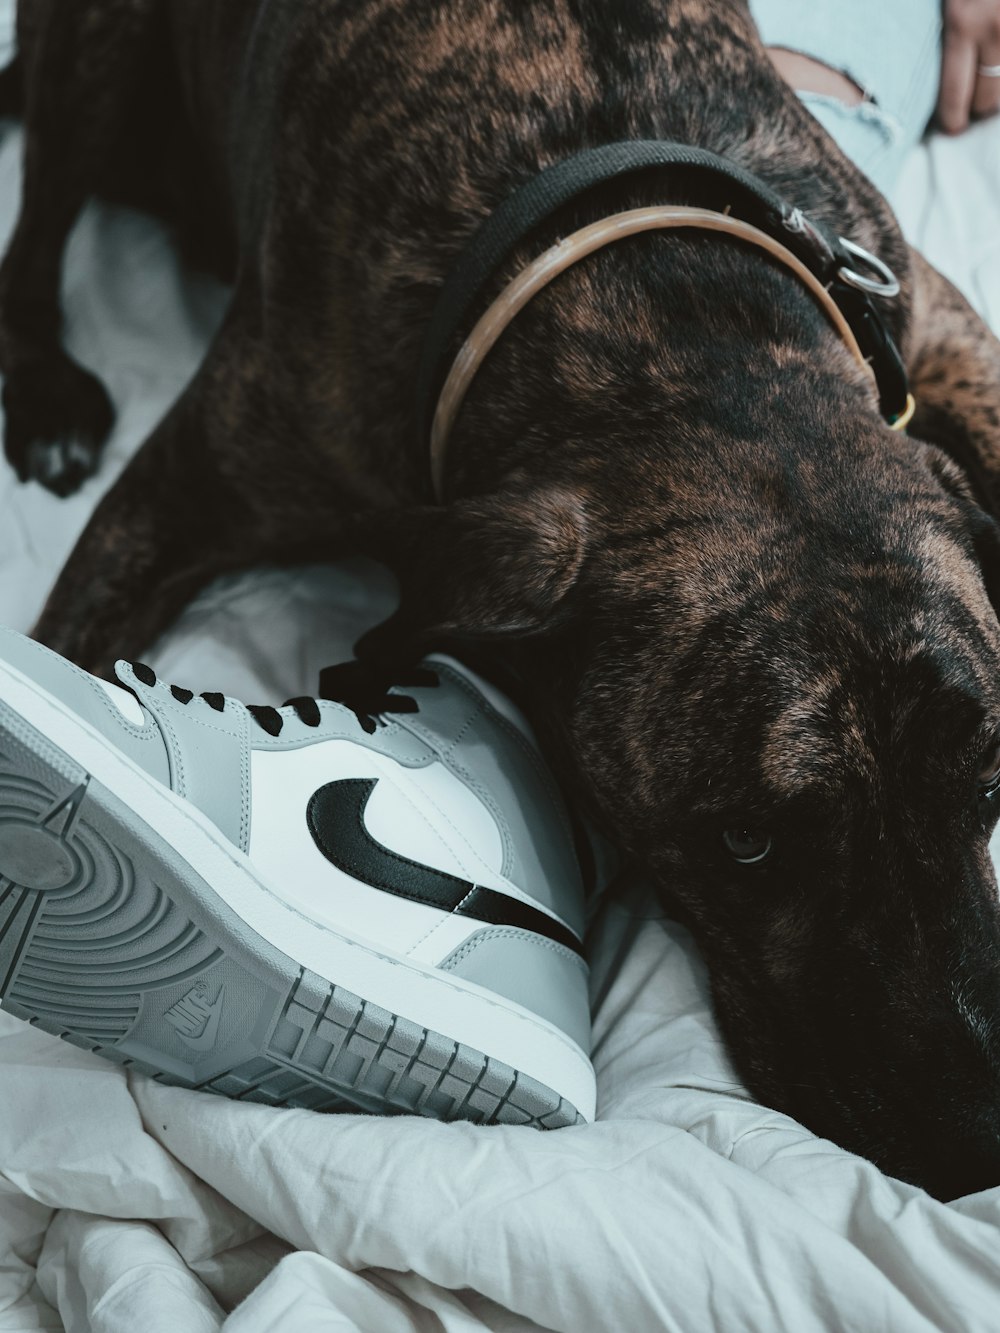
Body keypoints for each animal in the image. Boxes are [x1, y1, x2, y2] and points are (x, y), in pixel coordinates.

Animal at [3, 0, 1000, 1205]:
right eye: (744, 842)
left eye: (991, 778)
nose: (979, 1139)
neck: (654, 307)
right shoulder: (187, 486)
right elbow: (68, 640)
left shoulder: (935, 324)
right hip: (96, 52)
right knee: (37, 222)